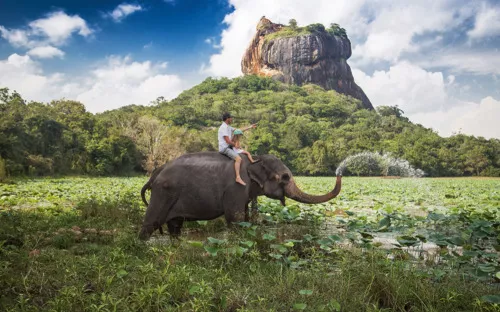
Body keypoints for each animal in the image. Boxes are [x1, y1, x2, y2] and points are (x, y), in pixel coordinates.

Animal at [140, 151, 344, 239]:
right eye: (285, 177)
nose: (339, 172)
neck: (254, 158)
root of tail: (156, 173)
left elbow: (244, 218)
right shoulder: (236, 187)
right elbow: (235, 218)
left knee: (175, 226)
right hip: (162, 193)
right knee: (151, 223)